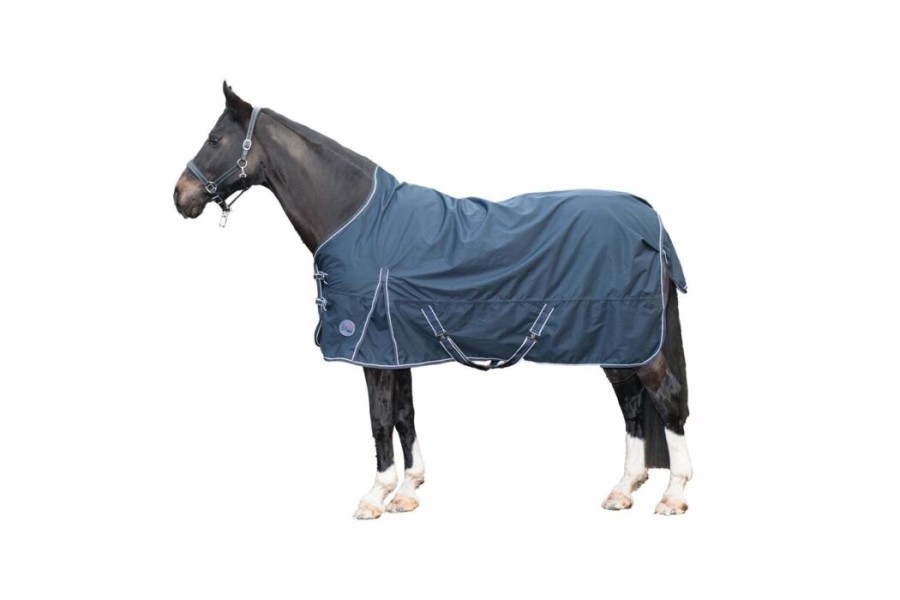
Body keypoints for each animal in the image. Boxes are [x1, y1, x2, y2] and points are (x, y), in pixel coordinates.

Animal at [173, 82, 693, 518]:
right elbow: (404, 415)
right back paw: (623, 489)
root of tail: (650, 219)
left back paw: (673, 495)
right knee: (631, 403)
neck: (357, 219)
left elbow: (379, 419)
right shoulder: (398, 346)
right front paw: (408, 490)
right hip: (617, 341)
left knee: (666, 398)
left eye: (214, 140)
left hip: (632, 340)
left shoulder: (372, 349)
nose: (180, 196)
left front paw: (374, 496)